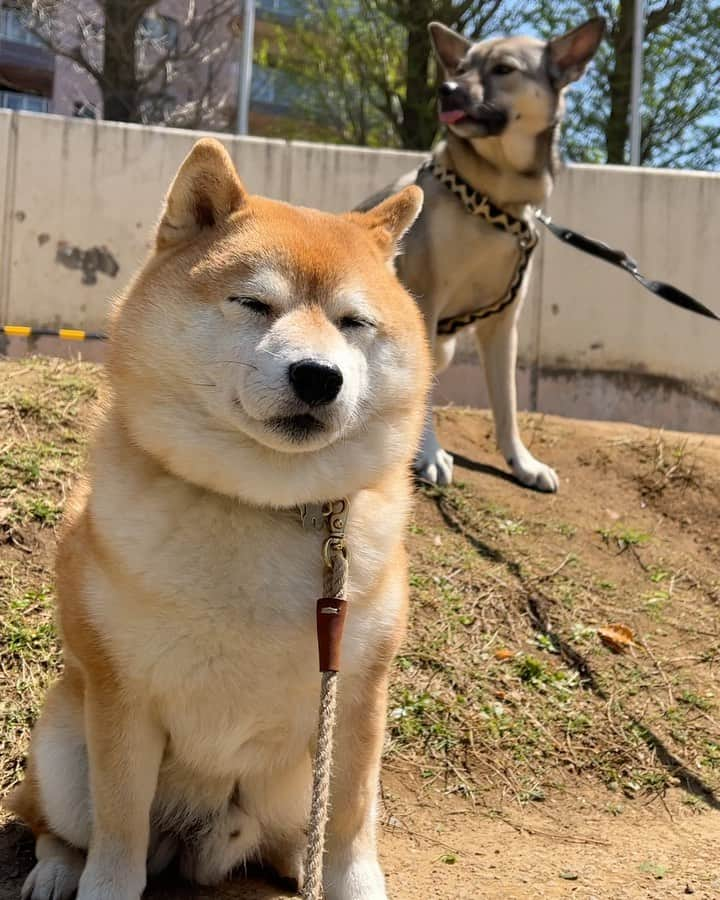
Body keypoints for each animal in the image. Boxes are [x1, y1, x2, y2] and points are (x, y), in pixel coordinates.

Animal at [8, 135, 430, 900]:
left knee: (299, 837)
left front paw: (352, 883)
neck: (259, 505)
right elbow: (117, 839)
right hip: (62, 751)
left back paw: (294, 863)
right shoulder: (123, 698)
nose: (319, 376)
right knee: (53, 823)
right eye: (254, 303)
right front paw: (99, 882)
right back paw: (55, 870)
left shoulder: (356, 699)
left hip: (292, 787)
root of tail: (195, 845)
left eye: (354, 323)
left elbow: (351, 827)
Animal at [358, 15, 604, 492]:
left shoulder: (503, 325)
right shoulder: (425, 304)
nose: (446, 89)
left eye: (504, 69)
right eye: (460, 67)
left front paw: (522, 463)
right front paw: (429, 453)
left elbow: (506, 403)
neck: (492, 199)